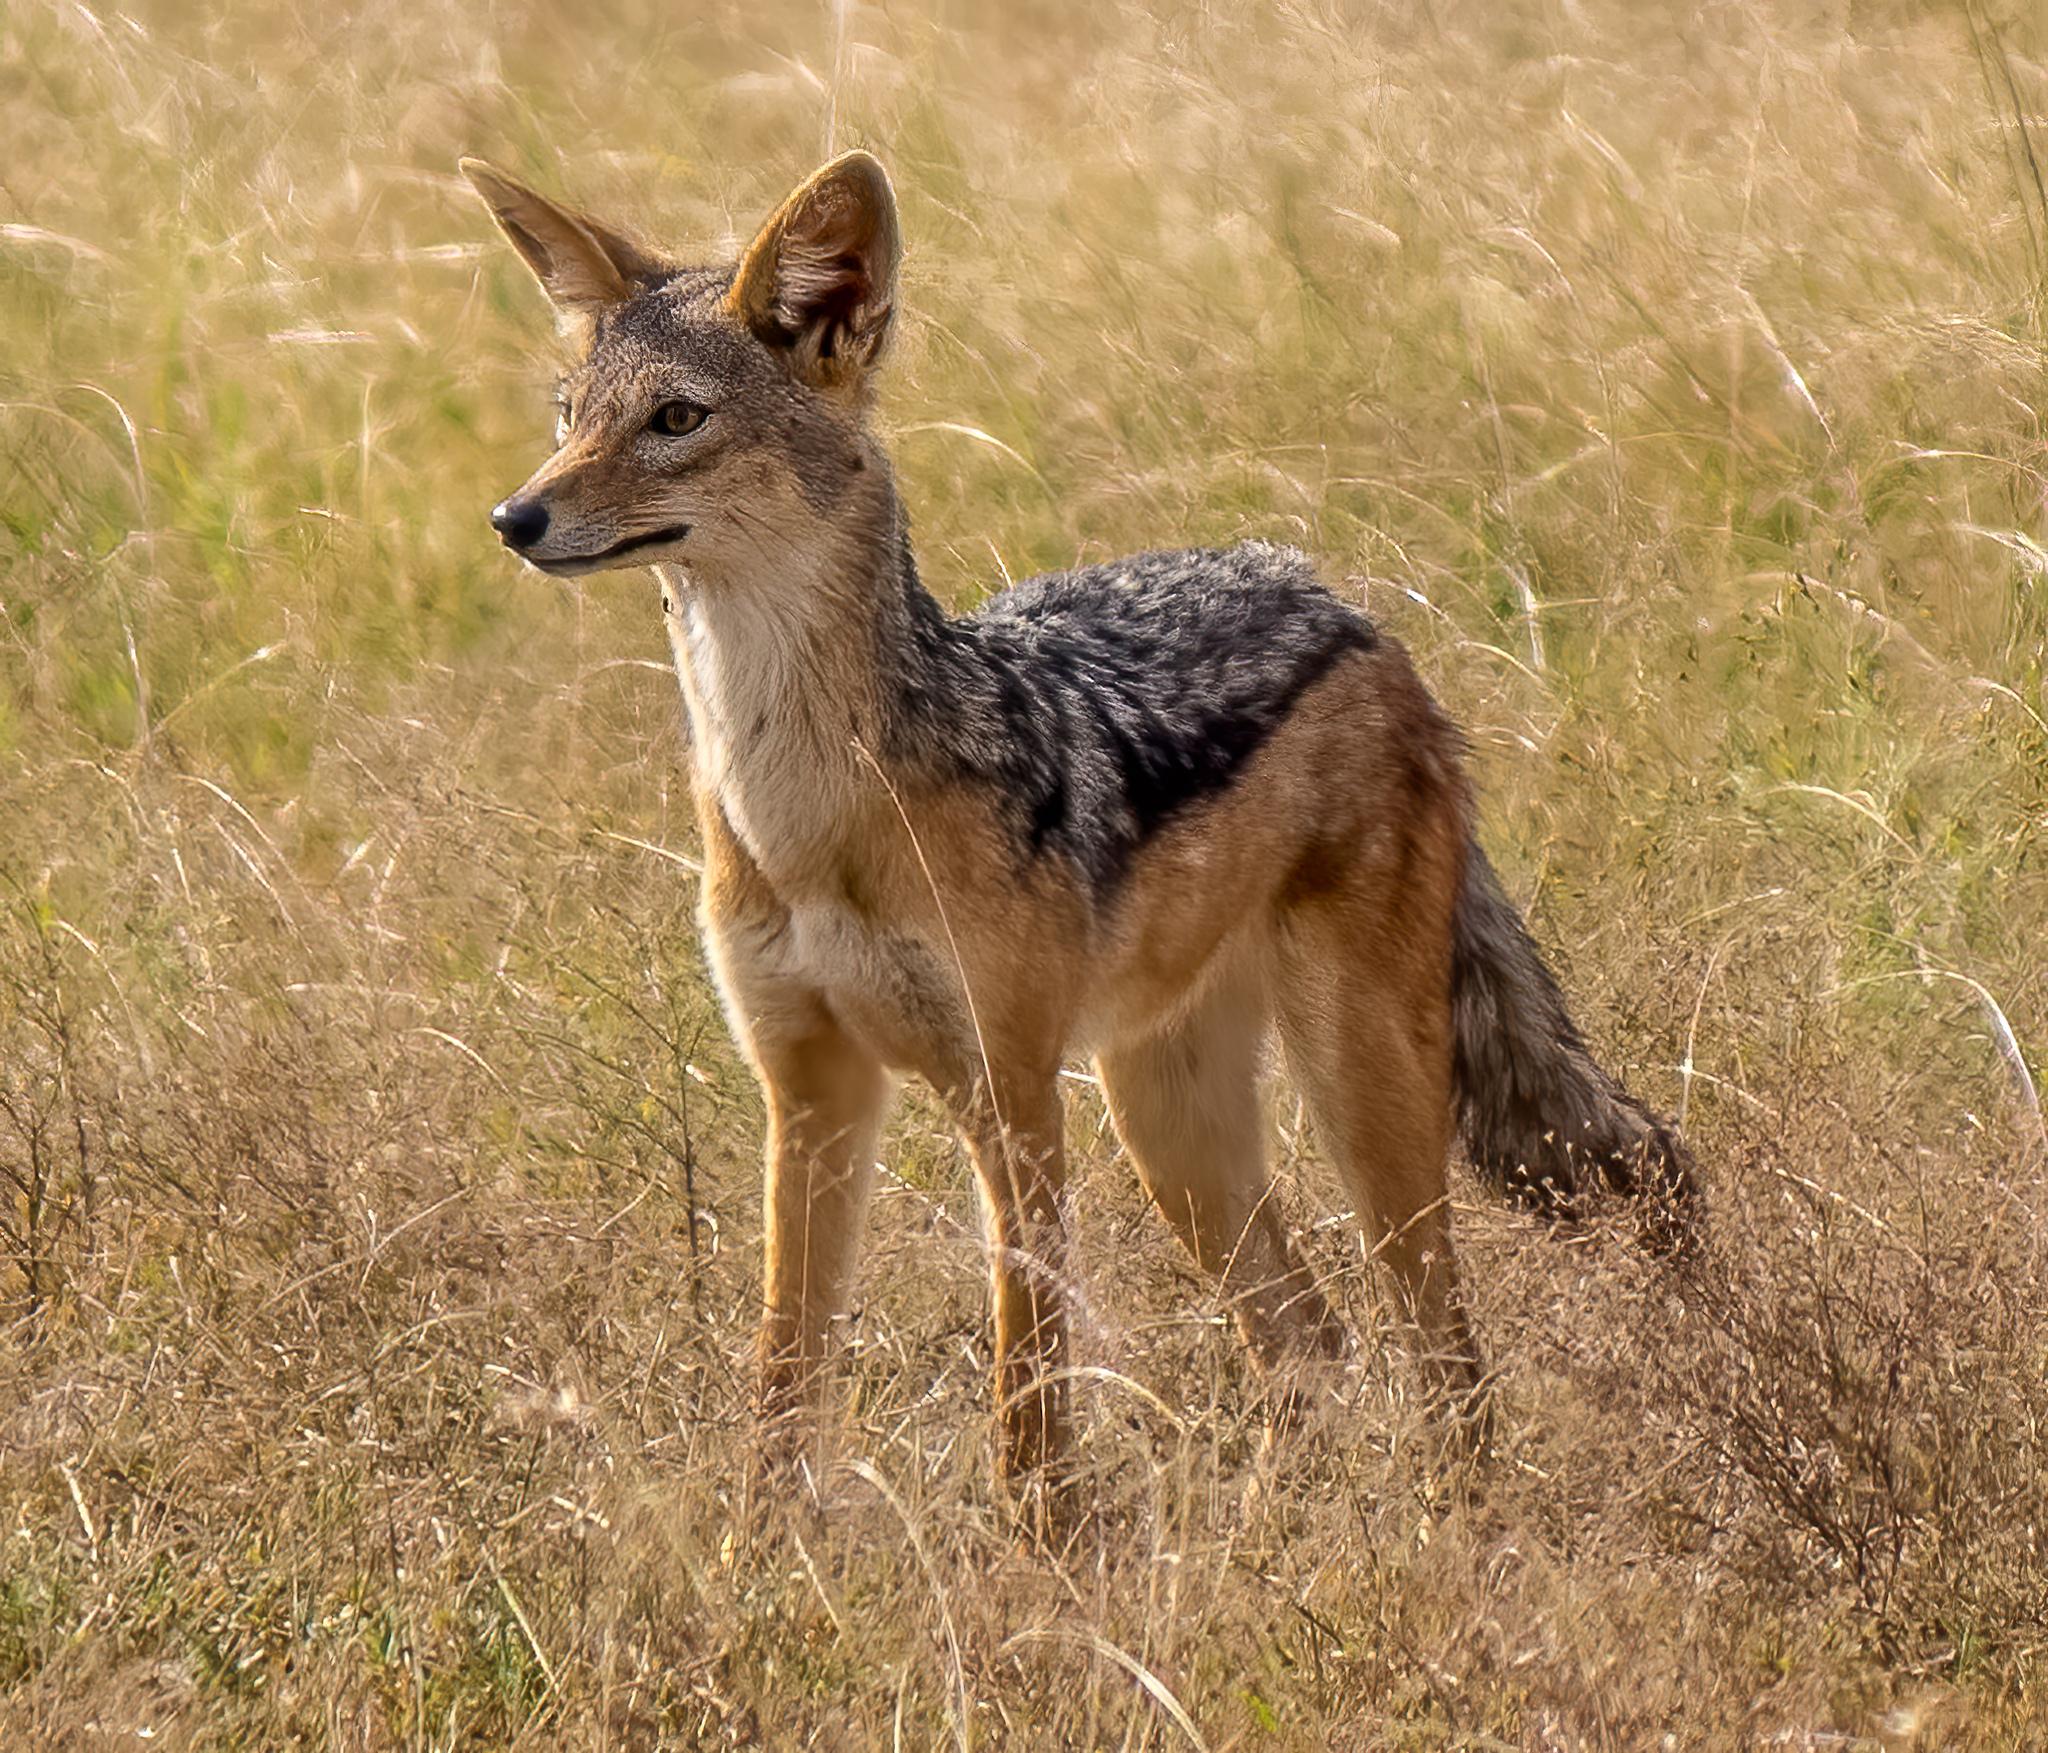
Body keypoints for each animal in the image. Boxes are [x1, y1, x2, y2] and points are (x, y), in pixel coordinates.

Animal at [462, 147, 1698, 1504]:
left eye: (675, 419)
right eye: (567, 414)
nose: (513, 519)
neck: (807, 820)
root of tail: (1347, 609)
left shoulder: (1006, 1098)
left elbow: (1029, 1403)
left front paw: (1038, 1557)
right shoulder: (808, 1094)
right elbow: (781, 1394)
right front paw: (764, 1553)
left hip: (1353, 1102)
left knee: (1445, 1363)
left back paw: (1449, 1533)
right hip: (1167, 1125)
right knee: (1312, 1338)